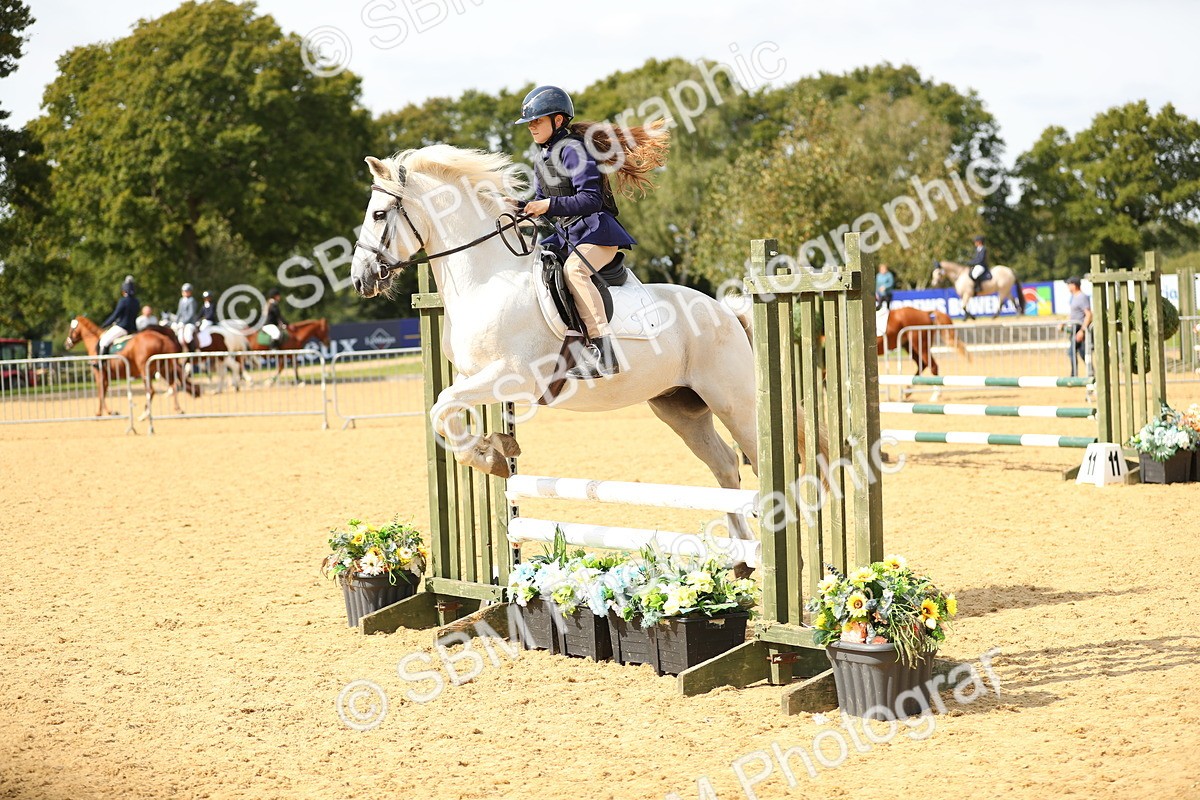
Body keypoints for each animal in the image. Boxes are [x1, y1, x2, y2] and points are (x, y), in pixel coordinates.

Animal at [63, 316, 200, 419]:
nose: (67, 344)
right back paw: (178, 409)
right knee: (173, 385)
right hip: (162, 368)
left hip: (146, 370)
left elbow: (101, 392)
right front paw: (107, 412)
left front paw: (103, 412)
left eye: (71, 328)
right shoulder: (105, 375)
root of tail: (162, 338)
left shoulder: (100, 374)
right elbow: (104, 391)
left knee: (151, 390)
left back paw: (145, 414)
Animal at [348, 145, 817, 555]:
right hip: (680, 408)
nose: (361, 279)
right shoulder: (476, 377)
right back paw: (741, 558)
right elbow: (445, 412)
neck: (485, 280)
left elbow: (441, 408)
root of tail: (725, 309)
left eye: (378, 214)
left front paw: (490, 457)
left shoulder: (512, 377)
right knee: (724, 464)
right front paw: (498, 449)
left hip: (734, 400)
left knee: (762, 464)